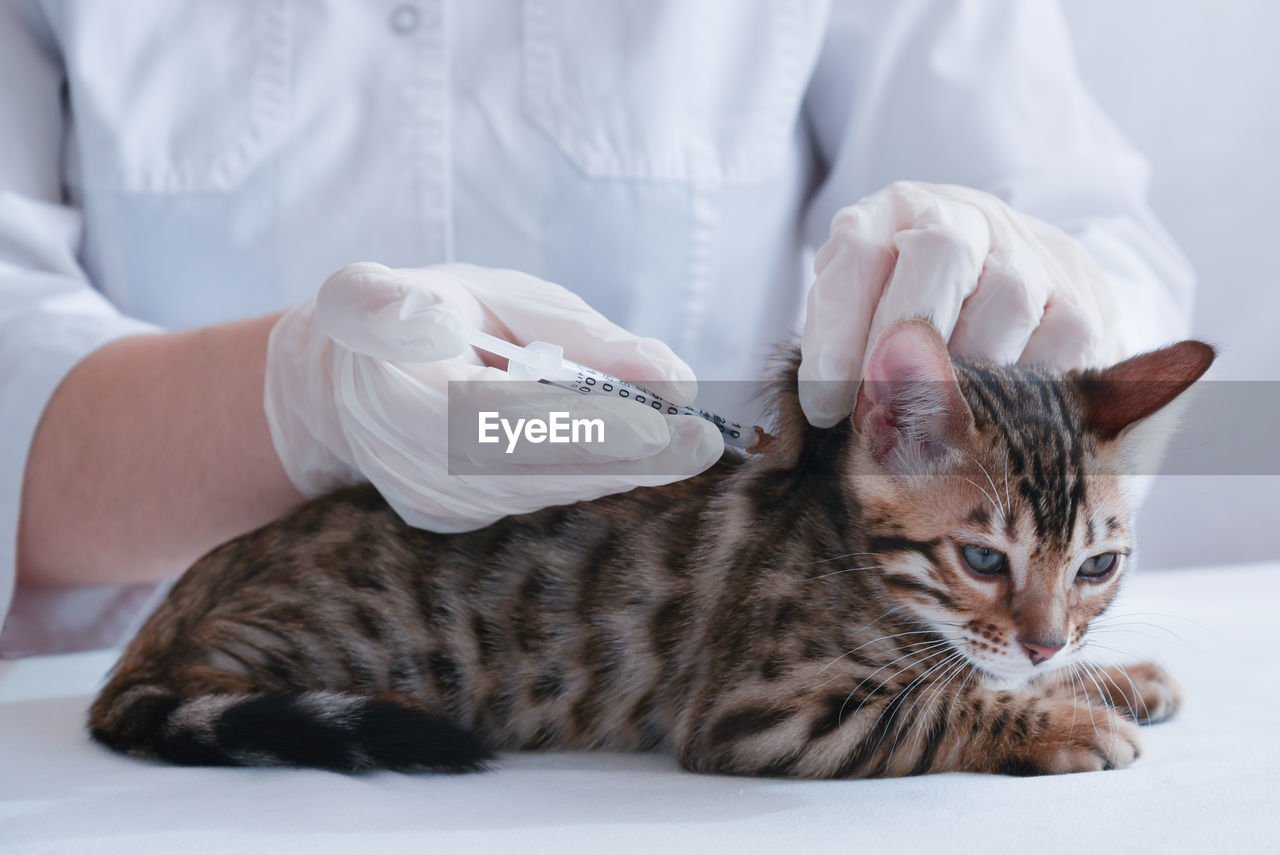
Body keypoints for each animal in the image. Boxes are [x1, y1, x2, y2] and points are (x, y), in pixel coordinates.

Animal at [87, 318, 1208, 773]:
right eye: (981, 560)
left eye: (1097, 567)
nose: (1045, 639)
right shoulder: (763, 711)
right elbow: (937, 704)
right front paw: (1063, 720)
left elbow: (978, 674)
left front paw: (1105, 678)